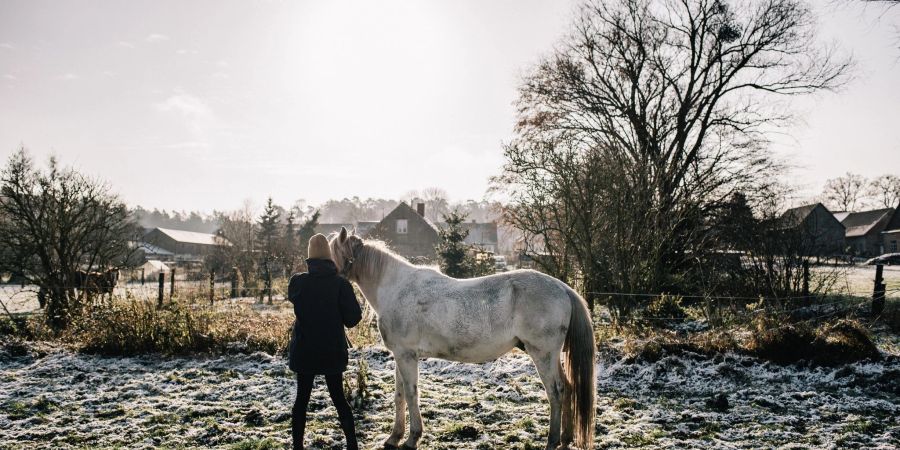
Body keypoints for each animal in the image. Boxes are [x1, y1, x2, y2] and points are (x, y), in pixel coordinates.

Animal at [330, 229, 596, 450]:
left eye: (332, 256)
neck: (396, 289)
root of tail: (563, 288)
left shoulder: (406, 356)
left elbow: (412, 393)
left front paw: (412, 438)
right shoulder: (400, 355)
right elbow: (400, 396)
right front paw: (394, 437)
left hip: (543, 354)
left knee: (556, 392)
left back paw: (552, 441)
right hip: (551, 356)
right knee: (568, 388)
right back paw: (566, 439)